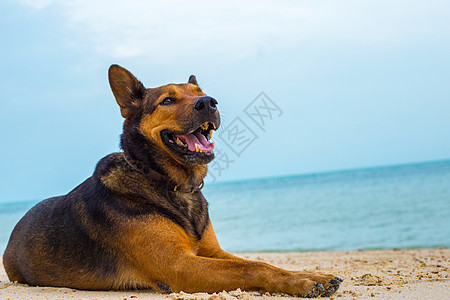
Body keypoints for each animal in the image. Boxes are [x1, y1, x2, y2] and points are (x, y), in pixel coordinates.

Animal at [4, 64, 342, 296]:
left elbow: (258, 263)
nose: (209, 103)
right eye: (167, 100)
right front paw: (303, 280)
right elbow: (251, 268)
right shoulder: (180, 266)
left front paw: (311, 273)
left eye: (201, 95)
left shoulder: (213, 253)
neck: (169, 182)